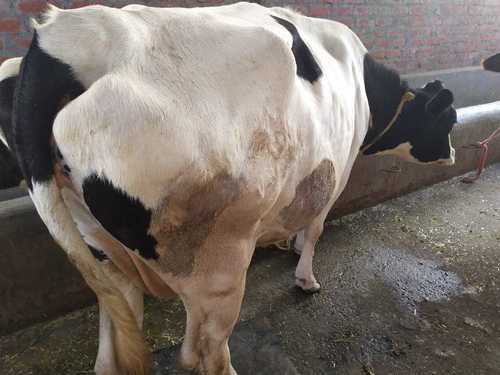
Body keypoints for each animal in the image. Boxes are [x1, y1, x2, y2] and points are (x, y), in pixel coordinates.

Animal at [0, 2, 458, 375]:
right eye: (449, 120)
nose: (454, 153)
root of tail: (61, 36)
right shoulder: (336, 171)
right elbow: (315, 228)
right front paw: (306, 277)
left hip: (103, 250)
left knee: (113, 350)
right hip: (218, 261)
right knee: (205, 353)